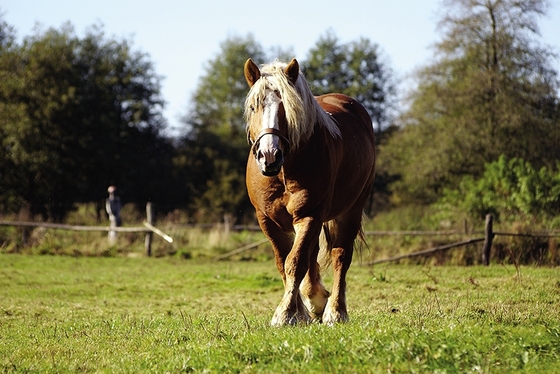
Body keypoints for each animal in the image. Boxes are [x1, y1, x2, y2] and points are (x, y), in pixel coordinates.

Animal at [245, 57, 376, 324]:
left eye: (288, 109)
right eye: (254, 107)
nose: (269, 155)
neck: (285, 172)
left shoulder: (309, 215)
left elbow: (295, 263)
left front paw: (286, 313)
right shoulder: (267, 220)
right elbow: (284, 263)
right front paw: (300, 310)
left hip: (350, 211)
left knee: (340, 256)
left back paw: (335, 311)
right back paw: (315, 300)